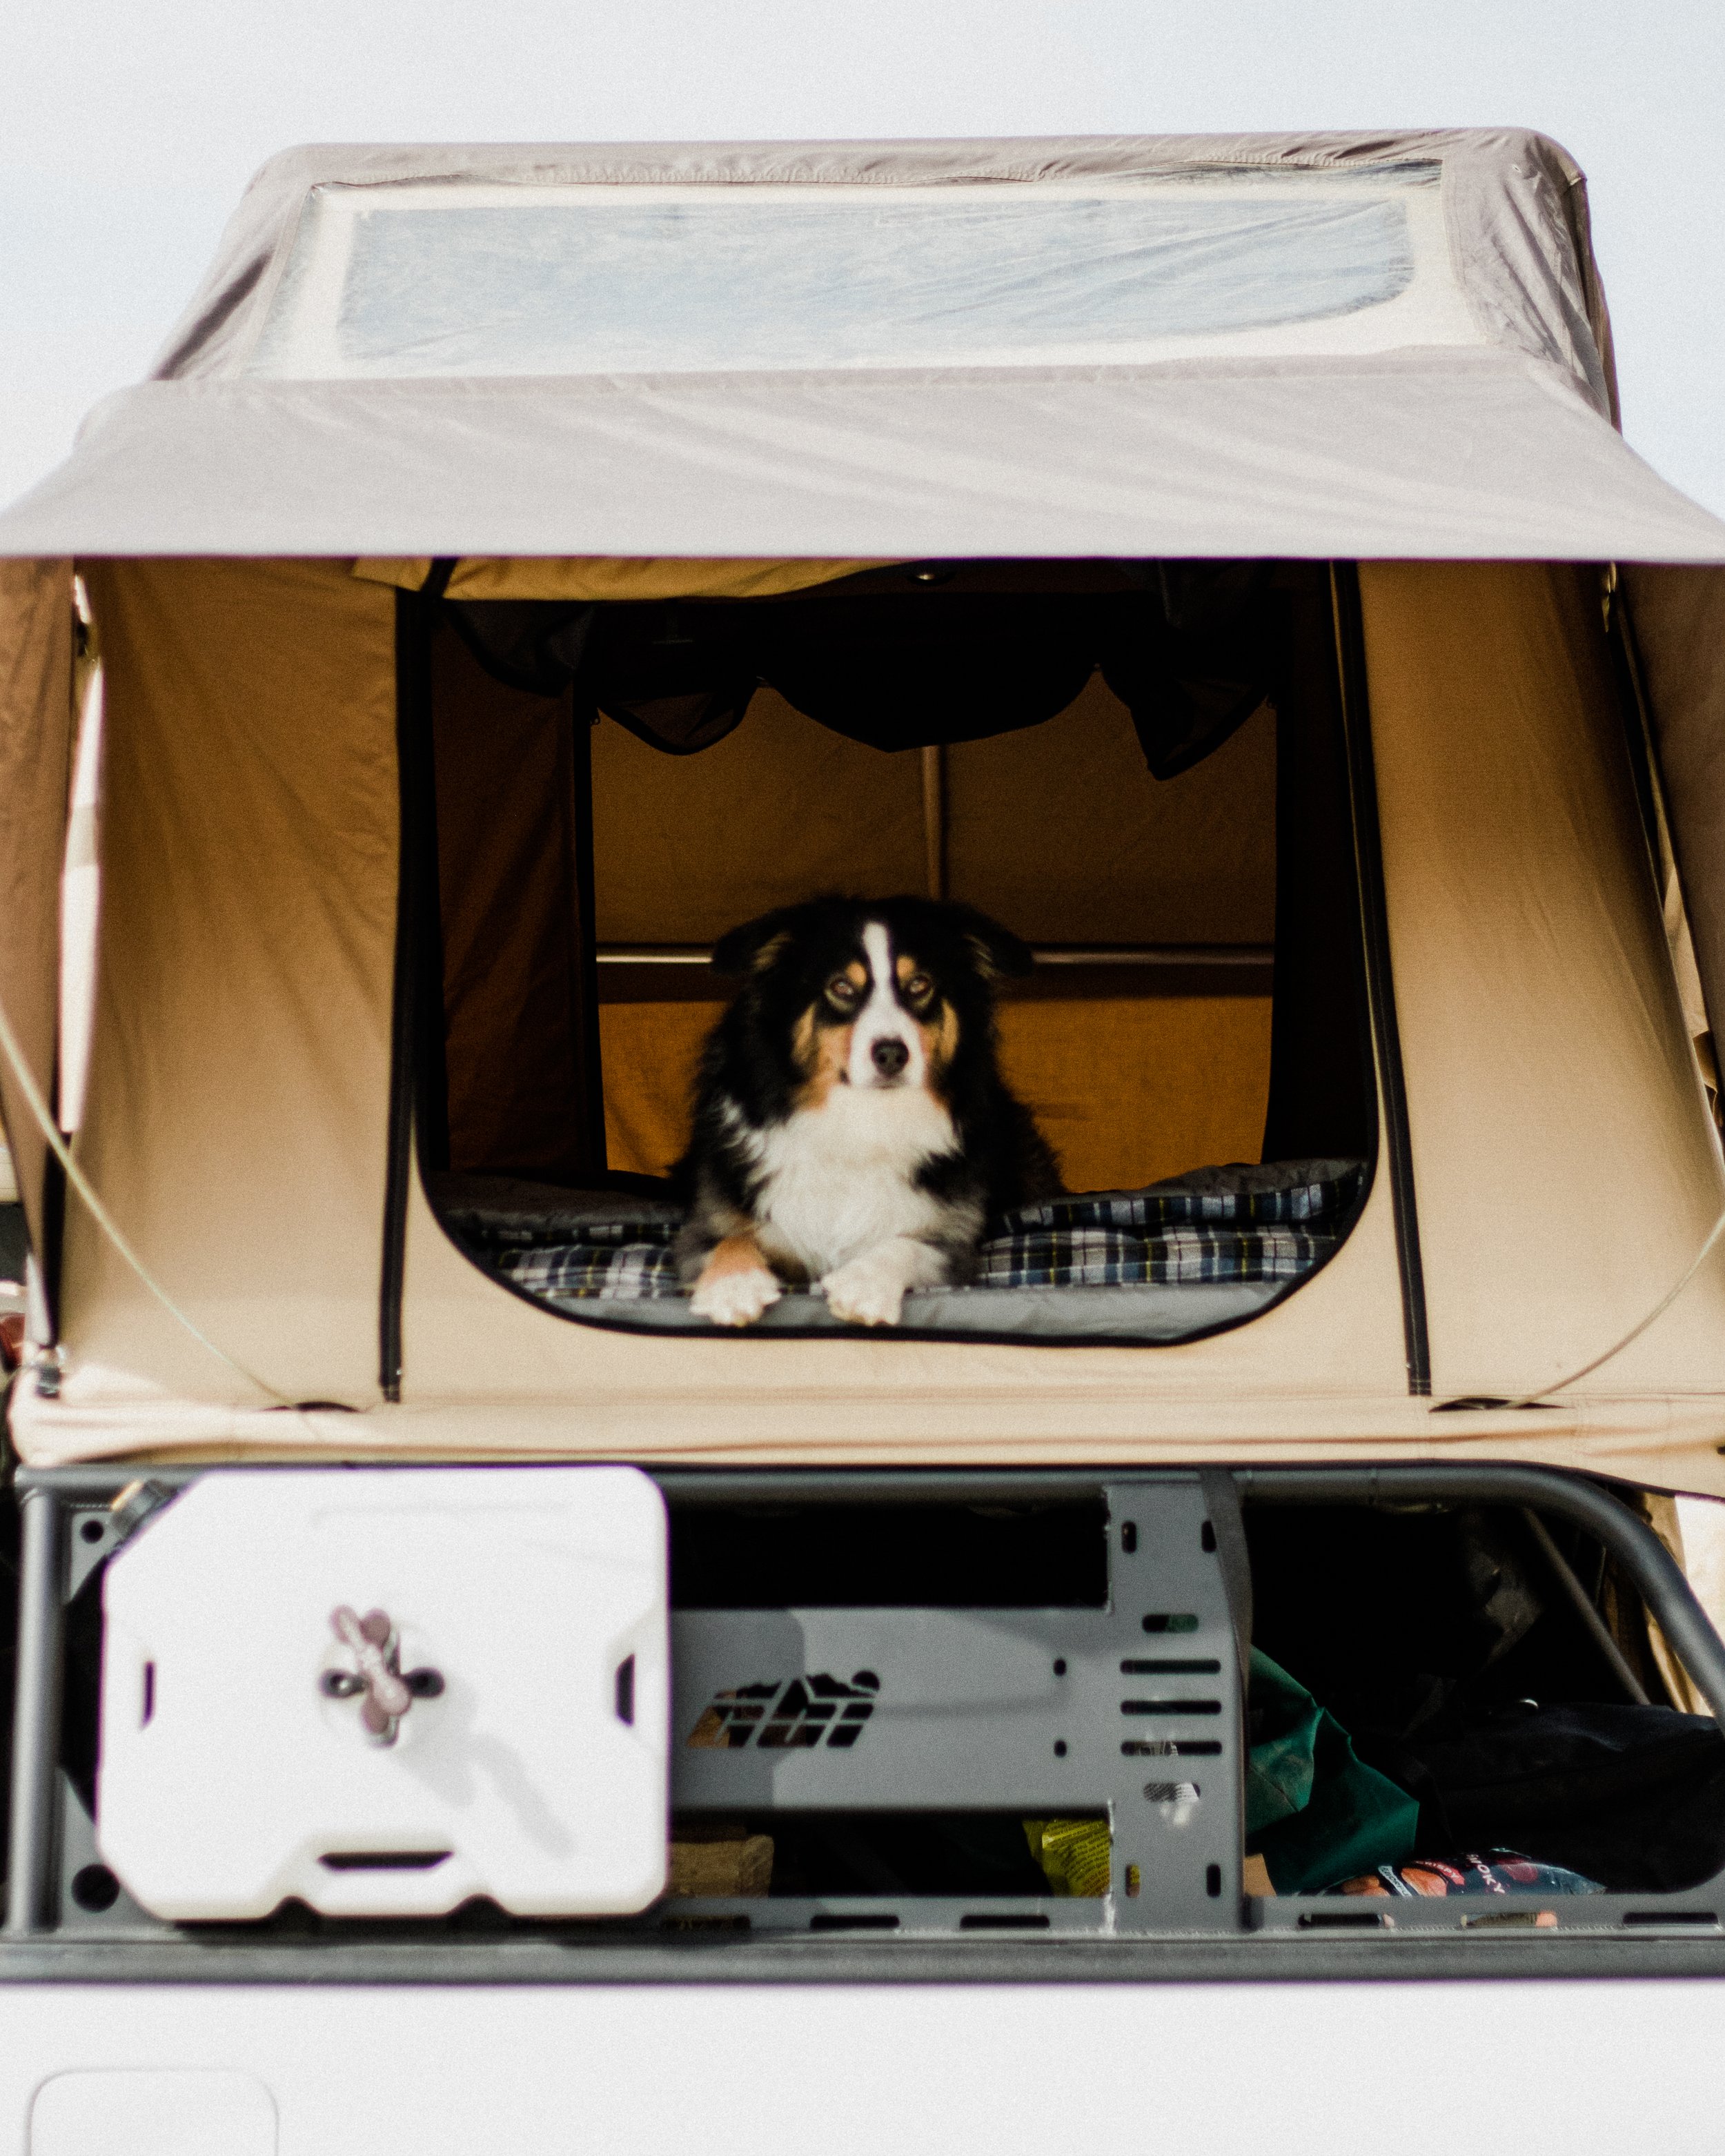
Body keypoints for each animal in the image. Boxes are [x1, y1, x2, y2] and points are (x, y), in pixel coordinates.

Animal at [677, 884, 1065, 1319]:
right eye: (842, 987)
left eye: (919, 985)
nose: (892, 1054)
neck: (862, 1116)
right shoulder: (707, 1224)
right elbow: (729, 1239)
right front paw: (733, 1287)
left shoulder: (953, 1240)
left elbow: (906, 1245)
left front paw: (863, 1285)